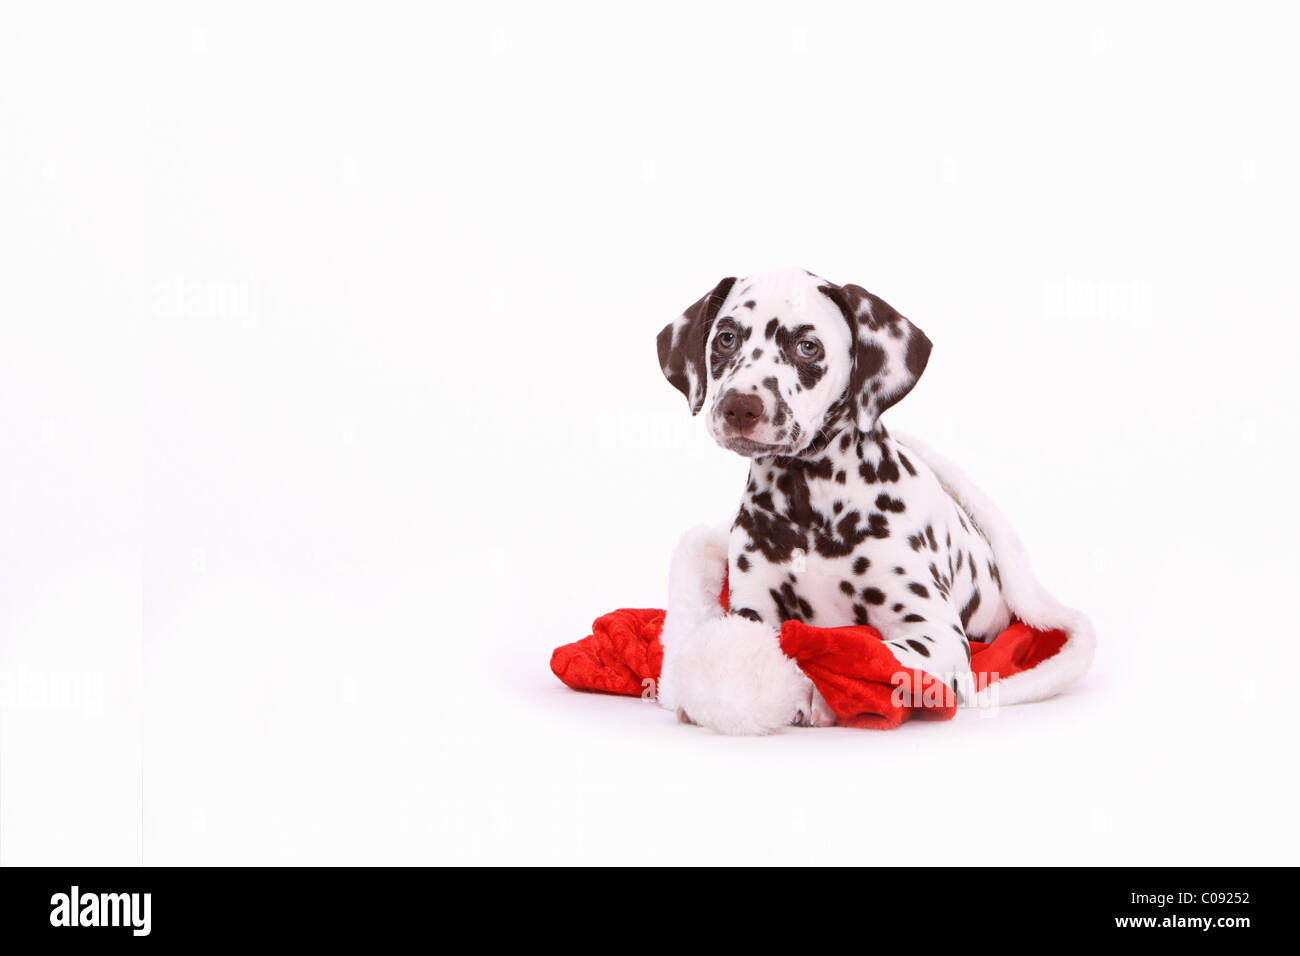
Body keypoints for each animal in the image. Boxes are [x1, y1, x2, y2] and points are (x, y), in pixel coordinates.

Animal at [660, 269, 1013, 733]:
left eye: (807, 346)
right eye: (726, 338)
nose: (740, 407)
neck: (810, 505)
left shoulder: (938, 635)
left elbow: (868, 656)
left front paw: (814, 691)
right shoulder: (753, 608)